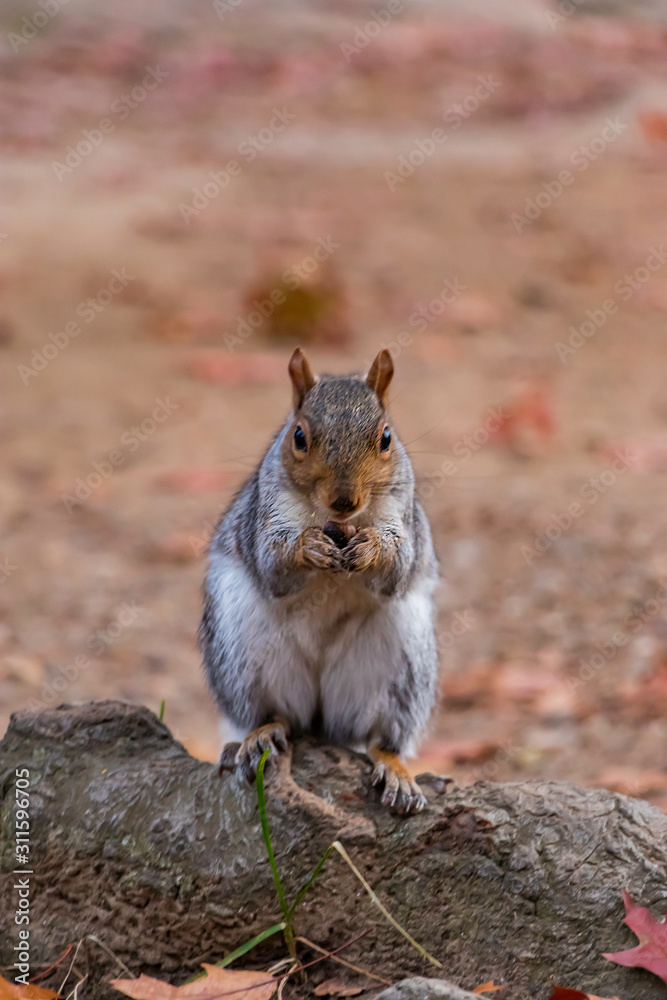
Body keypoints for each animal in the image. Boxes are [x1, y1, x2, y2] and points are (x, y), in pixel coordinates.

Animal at [199, 348, 439, 815]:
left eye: (386, 438)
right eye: (298, 437)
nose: (344, 500)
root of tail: (320, 720)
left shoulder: (401, 513)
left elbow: (398, 567)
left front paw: (370, 550)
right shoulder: (267, 512)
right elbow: (273, 565)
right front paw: (308, 546)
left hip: (401, 668)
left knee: (381, 735)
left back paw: (394, 770)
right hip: (241, 651)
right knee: (269, 712)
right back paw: (261, 735)